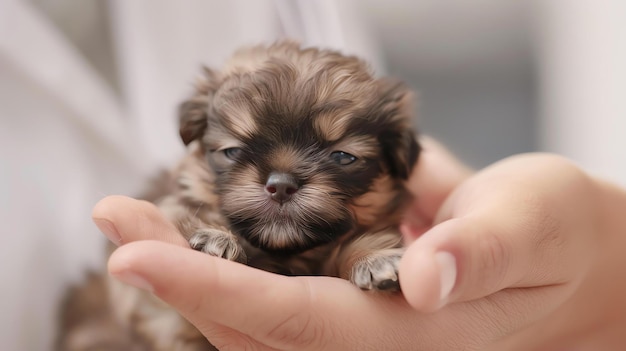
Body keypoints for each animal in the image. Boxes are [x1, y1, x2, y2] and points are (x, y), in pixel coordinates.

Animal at [58, 42, 420, 351]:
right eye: (232, 151)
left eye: (343, 157)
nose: (281, 184)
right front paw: (217, 237)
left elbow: (367, 238)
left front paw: (375, 259)